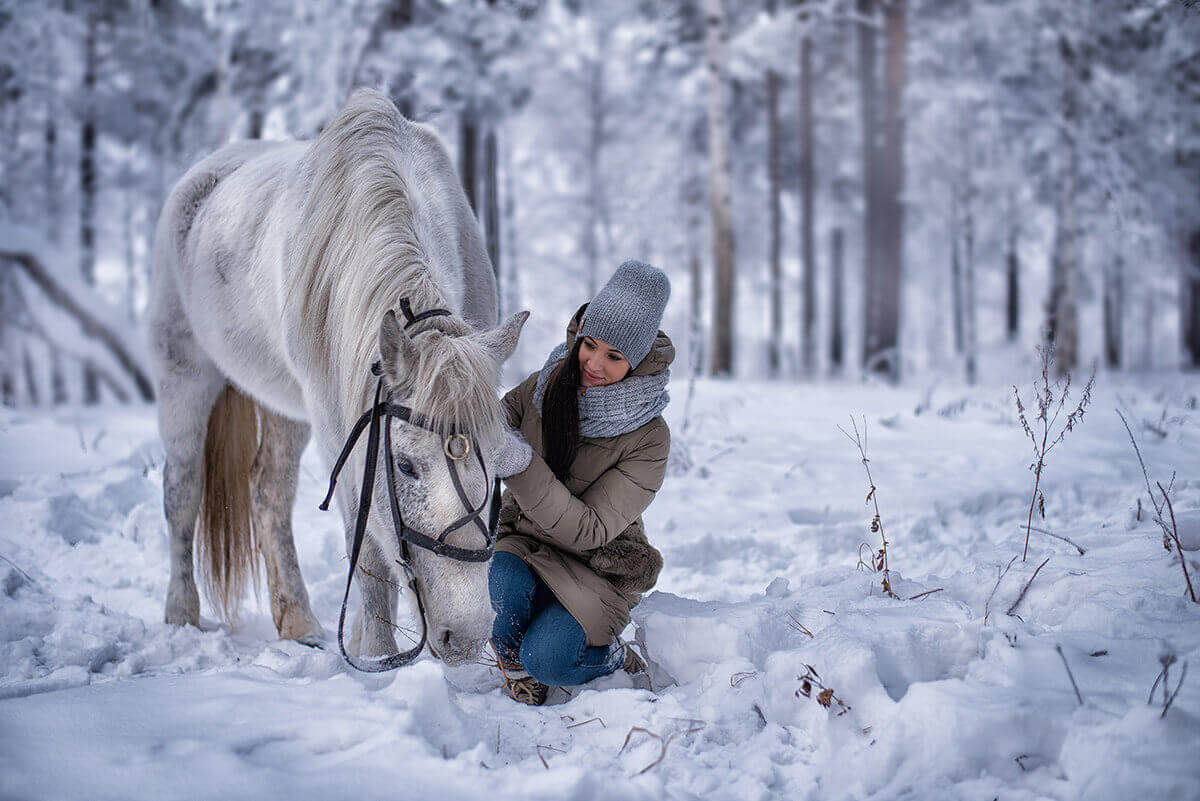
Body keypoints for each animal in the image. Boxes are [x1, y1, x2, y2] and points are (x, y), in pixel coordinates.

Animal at [146, 87, 525, 666]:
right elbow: (366, 553)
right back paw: (182, 616)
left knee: (269, 493)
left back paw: (299, 622)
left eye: (496, 462)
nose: (466, 634)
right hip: (184, 379)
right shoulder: (341, 430)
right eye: (406, 466)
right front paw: (378, 657)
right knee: (182, 491)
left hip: (282, 406)